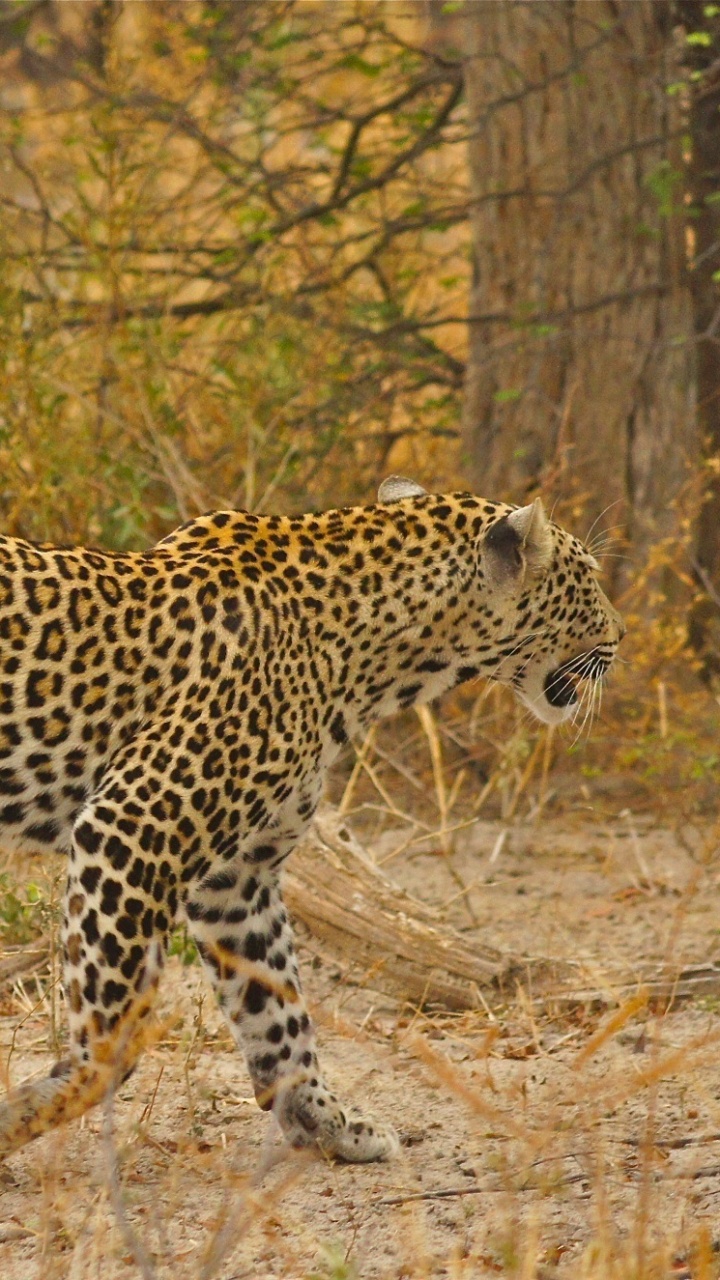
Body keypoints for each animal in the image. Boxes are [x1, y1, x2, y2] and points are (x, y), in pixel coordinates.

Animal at [0, 475, 624, 1163]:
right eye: (588, 577)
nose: (622, 637)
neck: (374, 661)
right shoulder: (130, 825)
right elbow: (113, 1035)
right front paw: (31, 1105)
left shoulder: (237, 880)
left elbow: (278, 1013)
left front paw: (329, 1122)